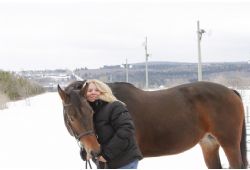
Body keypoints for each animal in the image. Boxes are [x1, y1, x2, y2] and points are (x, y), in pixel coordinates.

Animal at [58, 81, 248, 169]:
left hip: (229, 144)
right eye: (71, 117)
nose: (95, 151)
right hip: (209, 144)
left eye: (90, 113)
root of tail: (231, 91)